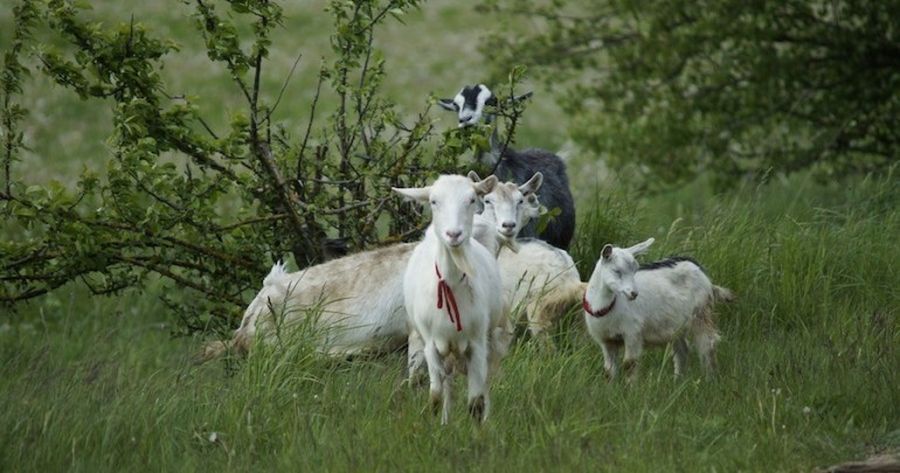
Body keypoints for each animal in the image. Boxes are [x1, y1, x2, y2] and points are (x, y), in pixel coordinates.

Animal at [393, 174, 505, 424]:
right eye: (433, 201)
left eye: (472, 200)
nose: (453, 235)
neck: (451, 285)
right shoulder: (431, 344)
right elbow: (435, 394)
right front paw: (437, 424)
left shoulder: (476, 342)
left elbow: (475, 402)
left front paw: (480, 430)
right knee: (448, 385)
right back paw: (446, 420)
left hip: (489, 337)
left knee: (485, 382)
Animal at [581, 238, 735, 379]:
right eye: (616, 271)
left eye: (635, 269)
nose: (634, 293)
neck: (606, 306)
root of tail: (697, 267)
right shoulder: (606, 340)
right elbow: (608, 371)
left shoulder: (632, 333)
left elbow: (630, 364)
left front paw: (630, 390)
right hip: (675, 323)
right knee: (682, 350)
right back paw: (678, 381)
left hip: (701, 312)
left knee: (707, 345)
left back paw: (710, 379)